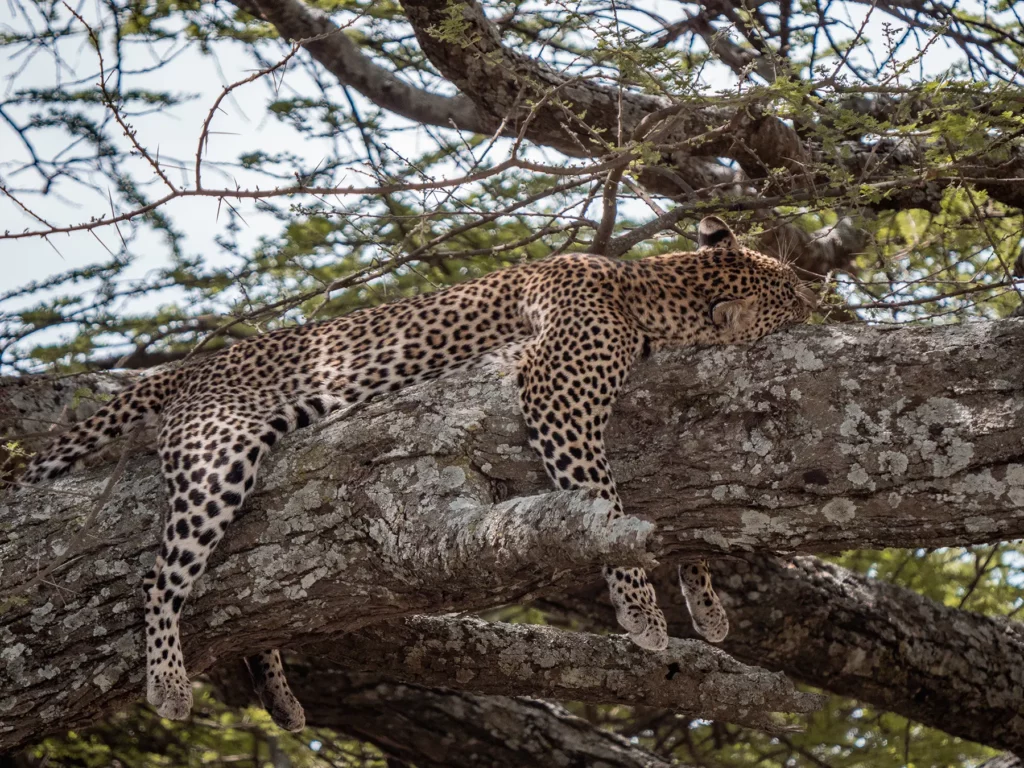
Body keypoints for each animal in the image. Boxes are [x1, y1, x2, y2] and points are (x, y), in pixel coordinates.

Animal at [21, 215, 816, 730]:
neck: (649, 286)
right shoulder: (556, 396)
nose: (824, 297)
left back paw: (277, 693)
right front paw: (643, 614)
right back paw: (167, 683)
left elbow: (661, 519)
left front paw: (706, 603)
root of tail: (194, 366)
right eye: (795, 298)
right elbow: (606, 504)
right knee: (160, 578)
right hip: (218, 455)